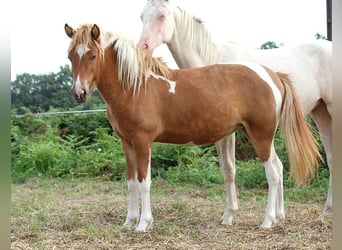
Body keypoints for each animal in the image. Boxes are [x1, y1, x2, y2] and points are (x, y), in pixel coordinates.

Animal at [65, 23, 320, 232]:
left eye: (93, 55)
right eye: (70, 56)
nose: (79, 93)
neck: (136, 86)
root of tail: (272, 75)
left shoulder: (142, 141)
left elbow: (144, 182)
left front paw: (144, 224)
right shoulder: (126, 143)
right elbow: (131, 183)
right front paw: (129, 222)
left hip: (261, 135)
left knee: (273, 173)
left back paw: (266, 221)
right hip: (260, 135)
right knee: (278, 166)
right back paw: (276, 217)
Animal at [137, 0, 332, 227]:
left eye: (162, 16)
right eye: (142, 16)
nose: (143, 47)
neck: (212, 59)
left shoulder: (228, 133)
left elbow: (230, 169)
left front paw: (230, 215)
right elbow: (226, 170)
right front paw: (231, 214)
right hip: (321, 114)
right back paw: (322, 212)